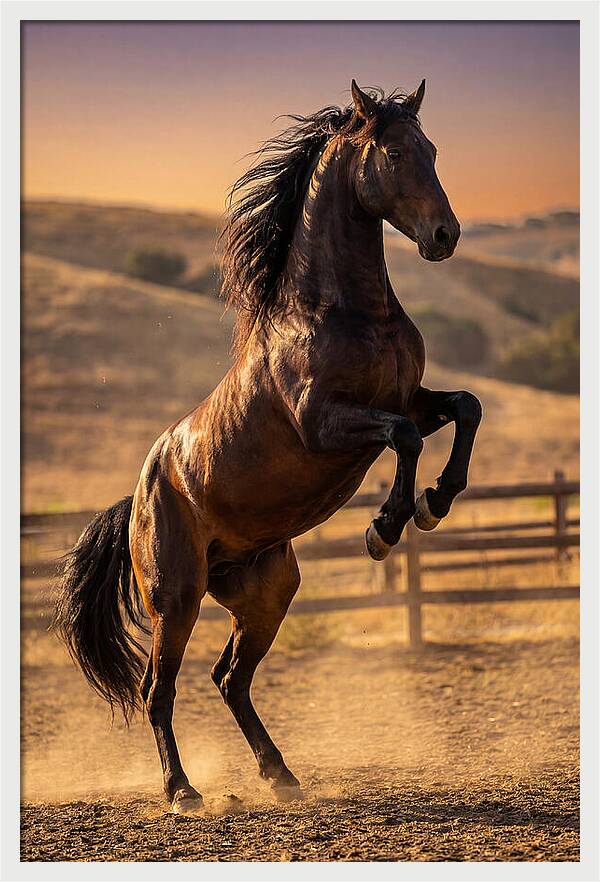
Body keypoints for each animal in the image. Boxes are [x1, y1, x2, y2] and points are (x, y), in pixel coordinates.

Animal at [54, 80, 482, 814]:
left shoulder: (409, 399)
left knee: (230, 679)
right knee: (159, 690)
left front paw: (436, 502)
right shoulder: (325, 423)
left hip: (267, 590)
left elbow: (464, 409)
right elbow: (401, 440)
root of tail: (138, 496)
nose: (444, 236)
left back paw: (280, 775)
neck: (342, 312)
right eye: (395, 153)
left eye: (432, 149)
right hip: (177, 597)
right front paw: (385, 527)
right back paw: (182, 792)